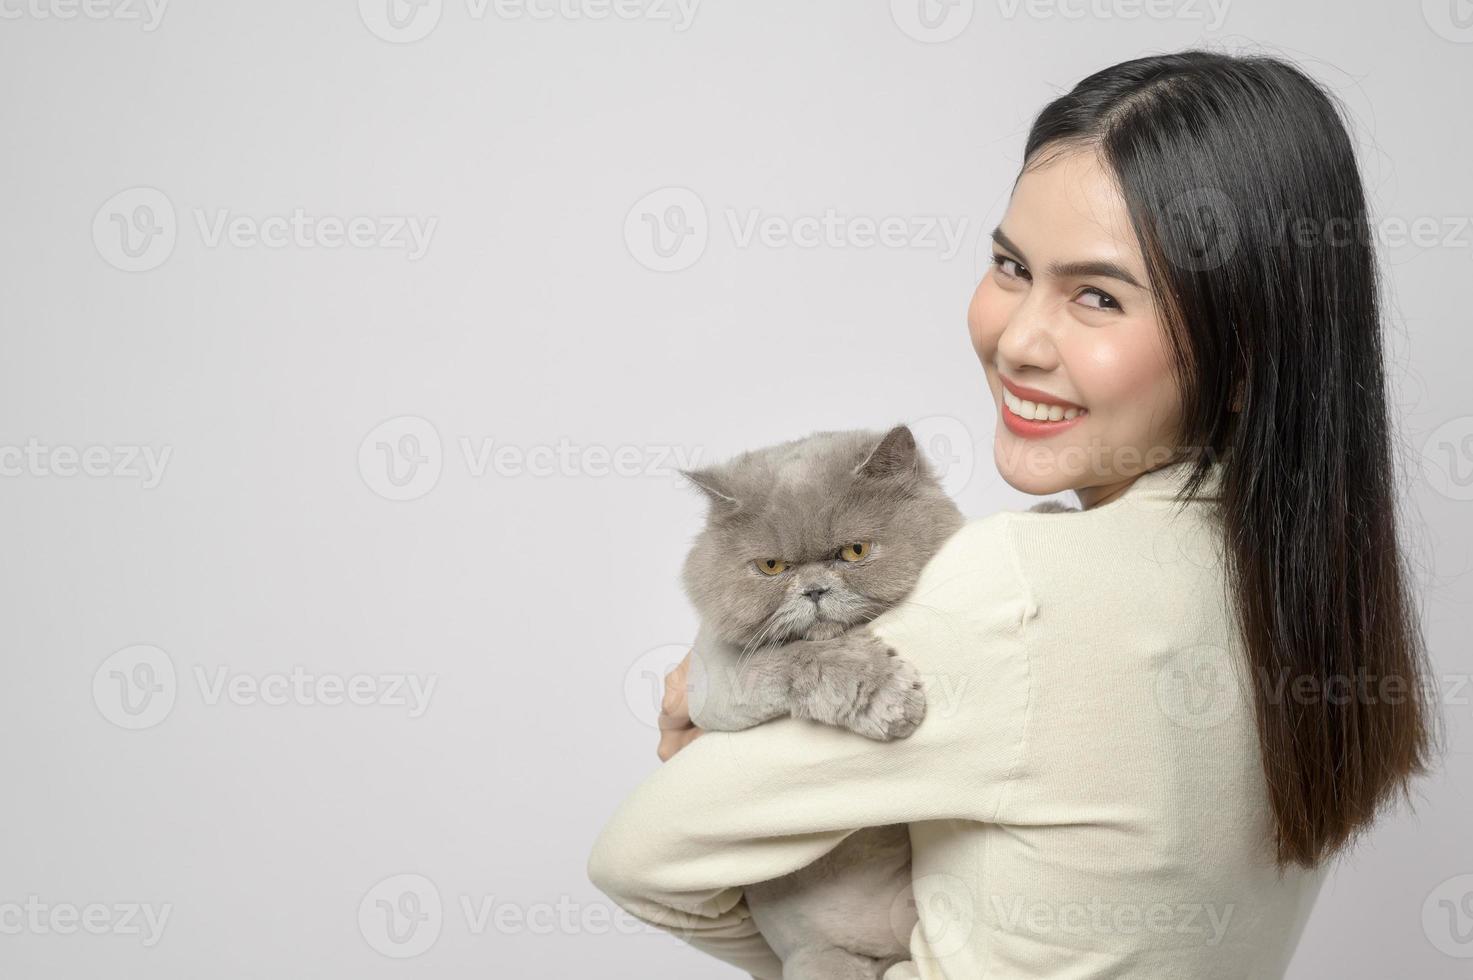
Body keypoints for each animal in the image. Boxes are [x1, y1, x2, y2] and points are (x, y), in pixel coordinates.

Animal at [677, 424, 966, 978]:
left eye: (854, 551)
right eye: (771, 566)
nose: (813, 590)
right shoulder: (716, 679)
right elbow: (802, 655)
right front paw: (885, 695)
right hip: (823, 959)